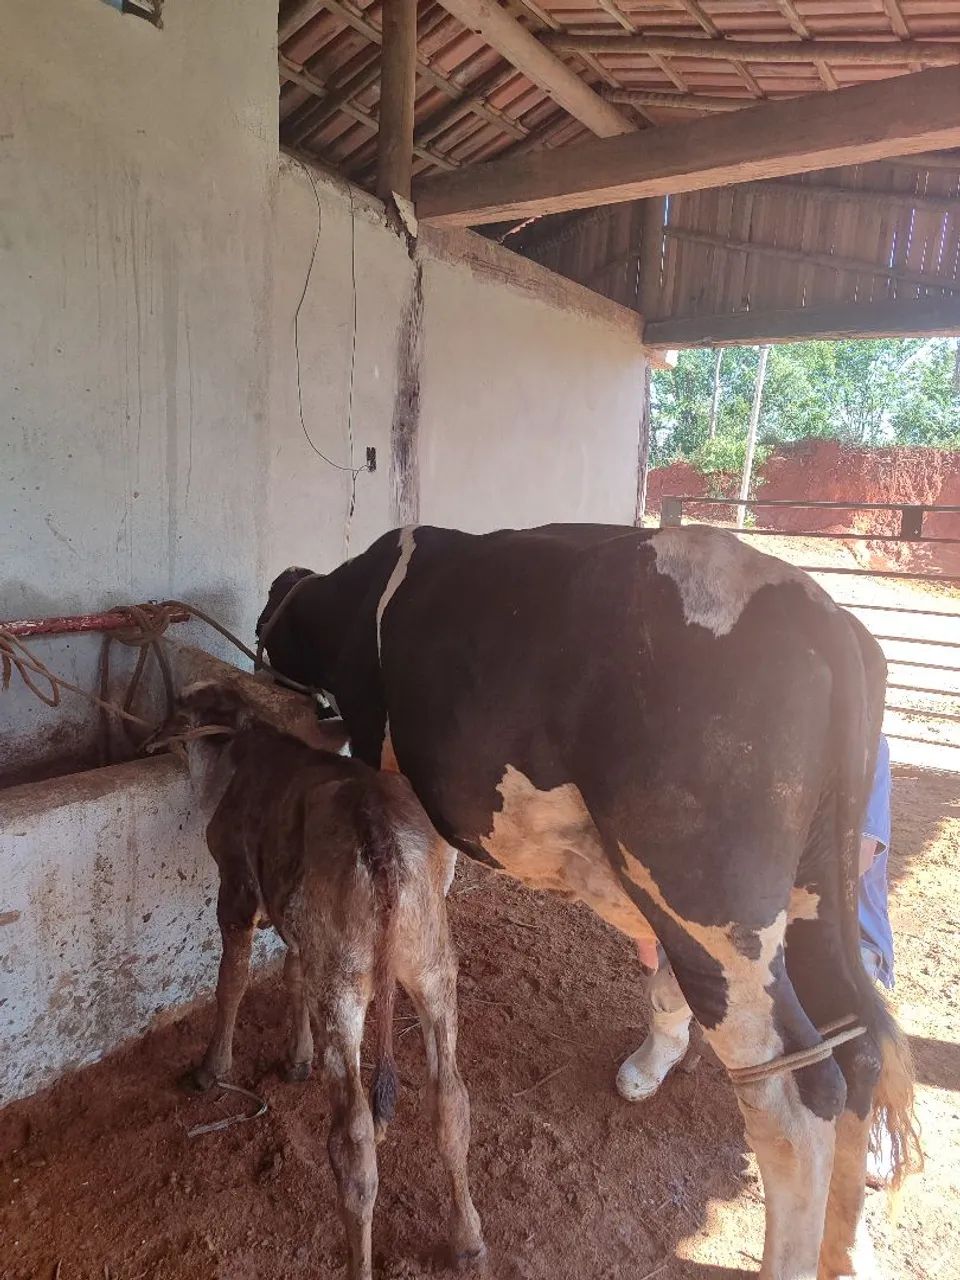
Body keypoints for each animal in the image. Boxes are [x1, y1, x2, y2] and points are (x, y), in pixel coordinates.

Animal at [165, 681, 484, 1280]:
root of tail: (378, 838)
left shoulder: (237, 890)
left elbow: (232, 981)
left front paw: (212, 1070)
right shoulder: (299, 928)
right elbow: (291, 974)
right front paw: (296, 1059)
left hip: (344, 990)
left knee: (355, 1140)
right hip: (433, 968)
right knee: (450, 1100)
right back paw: (470, 1240)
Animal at [255, 522, 921, 1280]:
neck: (364, 593)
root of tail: (825, 616)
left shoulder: (380, 753)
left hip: (714, 912)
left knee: (795, 1099)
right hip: (811, 899)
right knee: (858, 1046)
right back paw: (843, 1249)